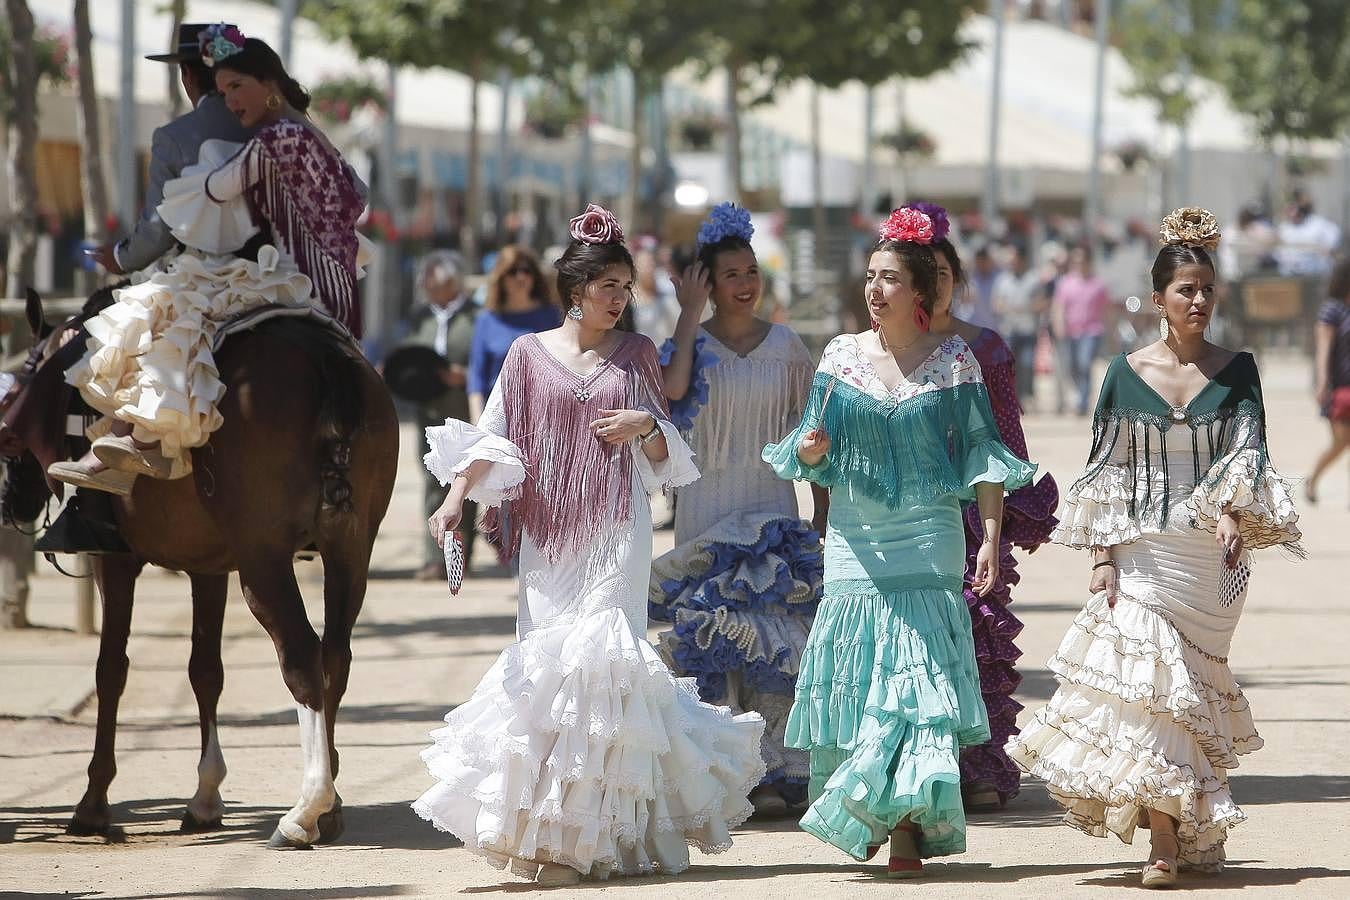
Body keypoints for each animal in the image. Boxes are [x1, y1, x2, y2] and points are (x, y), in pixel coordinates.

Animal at [0, 290, 396, 852]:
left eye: (17, 392)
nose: (12, 499)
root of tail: (323, 359)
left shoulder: (114, 562)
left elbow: (110, 669)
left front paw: (93, 803)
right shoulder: (209, 569)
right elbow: (205, 670)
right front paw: (205, 798)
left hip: (263, 562)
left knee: (301, 656)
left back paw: (304, 810)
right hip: (350, 553)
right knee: (334, 657)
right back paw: (330, 805)